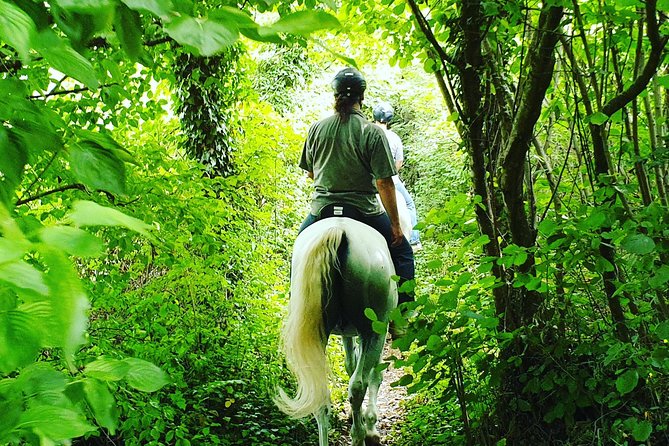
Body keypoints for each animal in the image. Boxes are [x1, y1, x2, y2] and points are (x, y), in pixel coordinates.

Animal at [276, 217, 400, 446]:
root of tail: (339, 230)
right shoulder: (376, 331)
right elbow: (374, 375)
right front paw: (371, 427)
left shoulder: (346, 333)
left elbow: (350, 364)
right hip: (374, 331)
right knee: (358, 386)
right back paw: (359, 435)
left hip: (320, 333)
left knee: (321, 394)